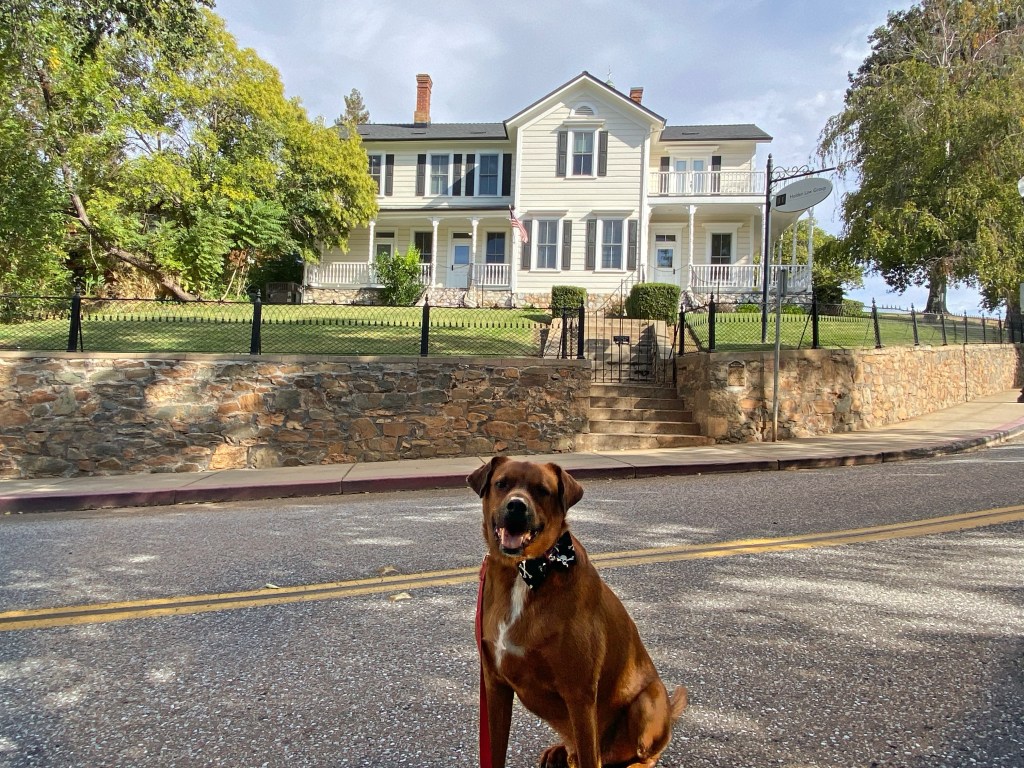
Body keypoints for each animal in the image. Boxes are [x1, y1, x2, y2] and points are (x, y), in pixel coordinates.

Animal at [468, 457, 687, 768]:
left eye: (542, 490)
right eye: (502, 483)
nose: (516, 506)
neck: (527, 572)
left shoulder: (580, 694)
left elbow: (587, 753)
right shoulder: (495, 686)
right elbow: (495, 751)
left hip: (648, 702)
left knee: (644, 754)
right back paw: (559, 752)